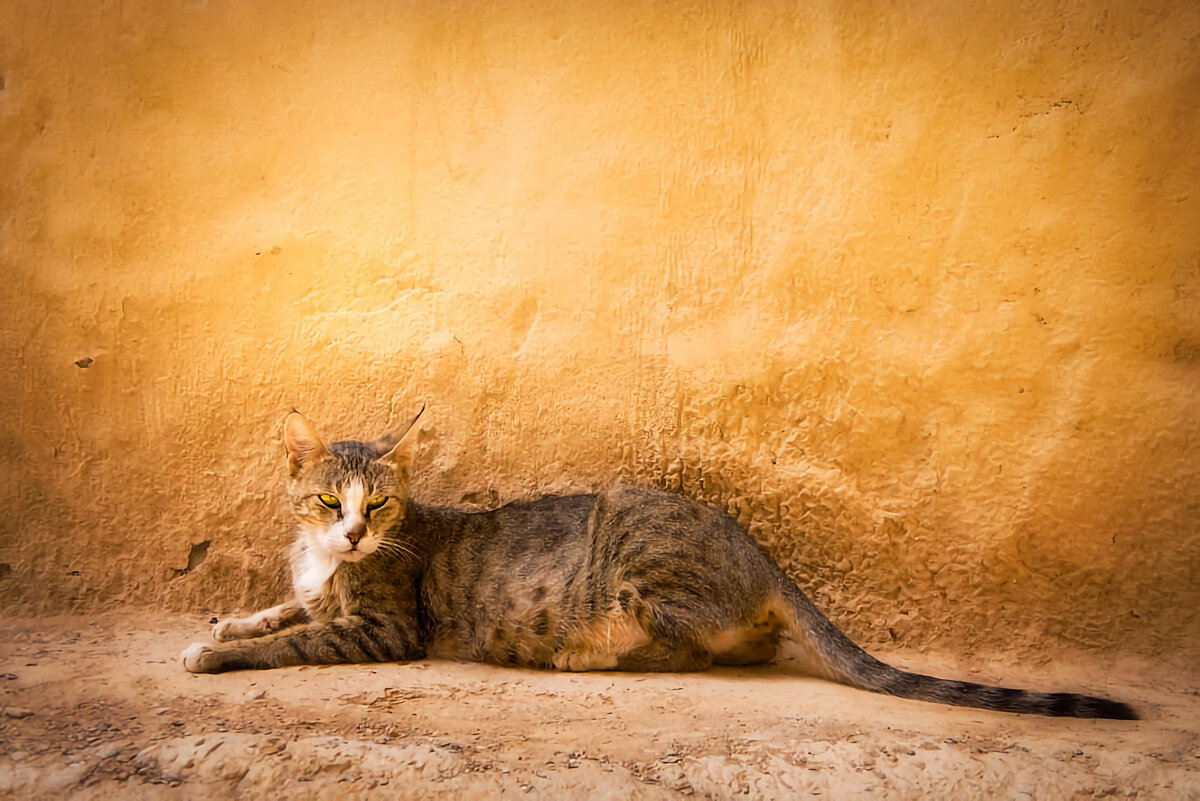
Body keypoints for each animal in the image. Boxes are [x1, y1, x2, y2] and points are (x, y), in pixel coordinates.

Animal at [182, 407, 1137, 719]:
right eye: (324, 501)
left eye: (376, 506)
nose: (350, 535)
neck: (330, 562)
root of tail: (760, 550)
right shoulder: (320, 590)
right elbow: (284, 610)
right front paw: (228, 620)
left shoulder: (385, 627)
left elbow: (295, 639)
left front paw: (220, 653)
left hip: (629, 543)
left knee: (689, 646)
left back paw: (585, 655)